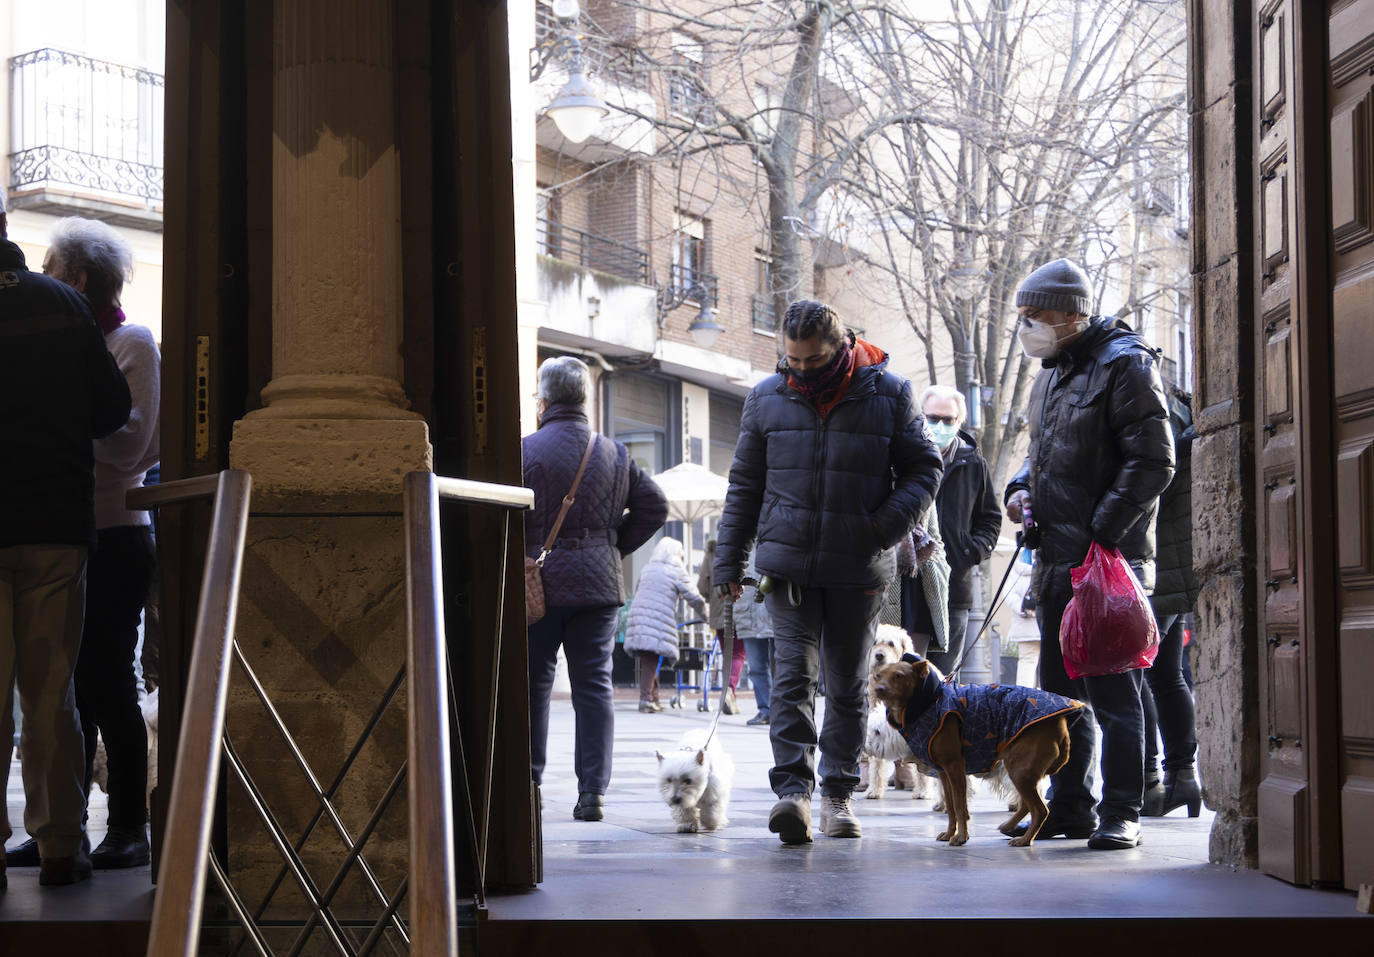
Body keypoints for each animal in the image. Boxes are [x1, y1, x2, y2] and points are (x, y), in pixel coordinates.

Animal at [868, 656, 1082, 845]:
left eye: (898, 675)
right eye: (878, 675)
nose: (879, 689)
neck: (927, 701)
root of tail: (1060, 723)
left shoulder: (955, 768)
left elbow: (960, 806)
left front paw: (961, 837)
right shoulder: (944, 772)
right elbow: (952, 806)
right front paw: (949, 833)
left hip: (1019, 770)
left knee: (1039, 809)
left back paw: (1025, 839)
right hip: (1021, 771)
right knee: (1027, 805)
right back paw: (1010, 826)